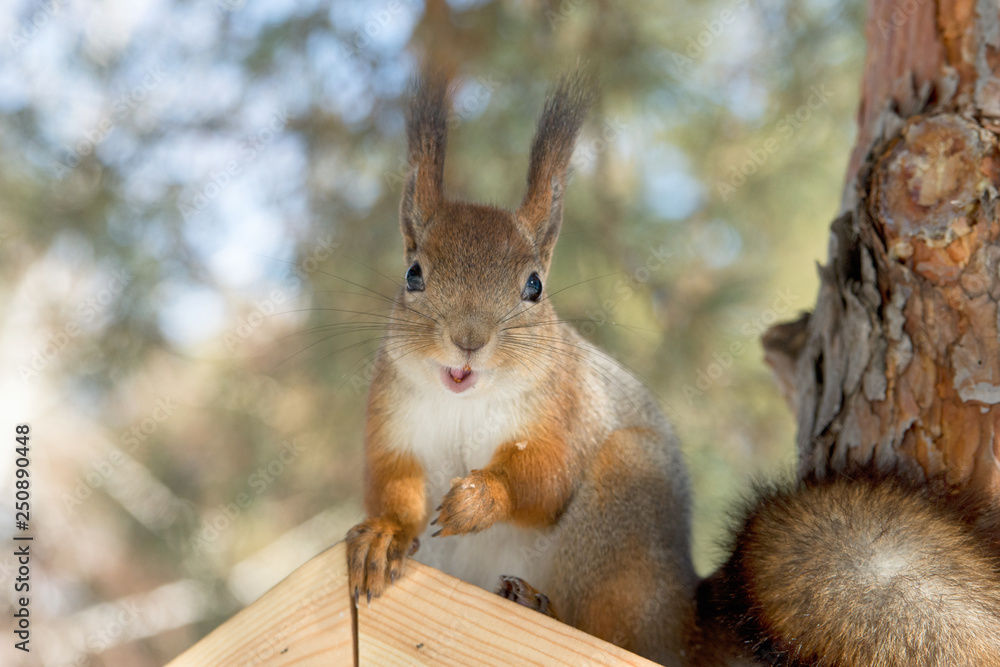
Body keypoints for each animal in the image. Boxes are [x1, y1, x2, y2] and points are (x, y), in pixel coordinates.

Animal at [344, 70, 698, 664]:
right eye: (414, 274)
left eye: (534, 286)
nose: (468, 340)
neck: (465, 403)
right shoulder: (392, 417)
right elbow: (392, 480)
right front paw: (383, 537)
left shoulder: (566, 406)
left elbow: (546, 477)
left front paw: (481, 498)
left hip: (625, 501)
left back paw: (541, 606)